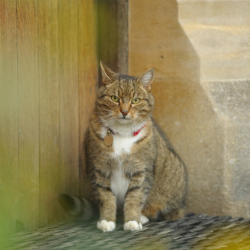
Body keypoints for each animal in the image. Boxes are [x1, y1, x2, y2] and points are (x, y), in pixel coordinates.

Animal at [59, 62, 186, 232]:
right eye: (115, 98)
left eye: (135, 100)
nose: (125, 112)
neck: (121, 133)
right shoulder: (98, 169)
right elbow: (105, 197)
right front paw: (106, 220)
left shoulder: (141, 171)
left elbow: (135, 197)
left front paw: (132, 221)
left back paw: (143, 216)